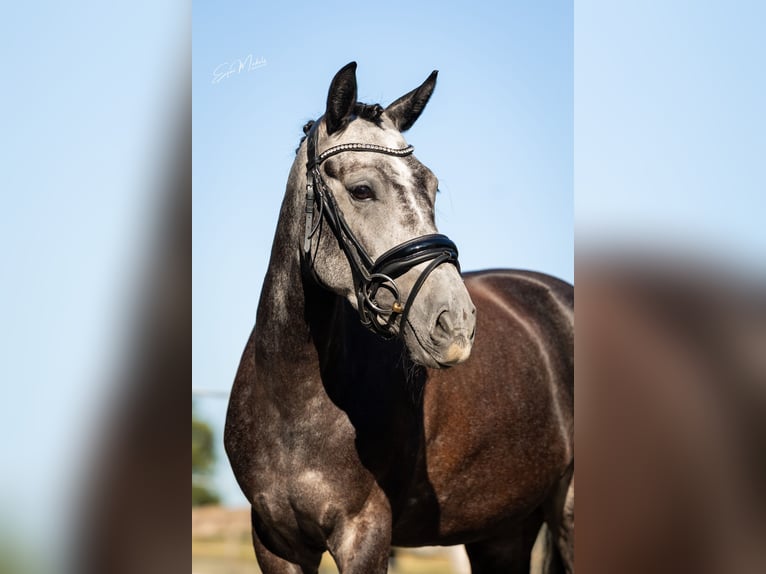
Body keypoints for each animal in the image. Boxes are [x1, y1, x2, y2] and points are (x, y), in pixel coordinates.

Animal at [224, 62, 574, 574]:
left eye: (432, 187)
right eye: (361, 190)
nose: (455, 322)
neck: (292, 400)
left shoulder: (364, 535)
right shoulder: (275, 542)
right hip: (501, 533)